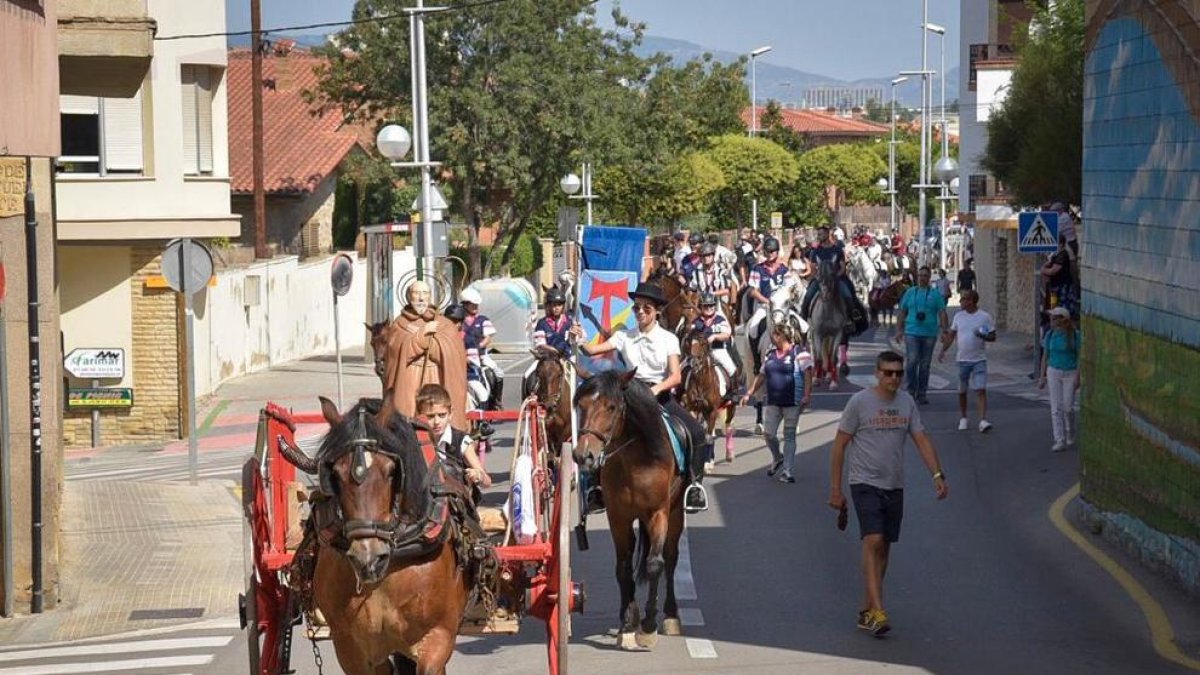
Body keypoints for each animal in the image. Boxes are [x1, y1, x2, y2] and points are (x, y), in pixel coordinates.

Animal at [573, 367, 686, 648]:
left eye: (612, 407)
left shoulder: (658, 513)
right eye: (581, 405)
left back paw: (670, 615)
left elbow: (655, 563)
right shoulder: (618, 518)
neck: (634, 460)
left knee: (670, 558)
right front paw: (627, 624)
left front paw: (648, 626)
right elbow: (623, 568)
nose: (583, 455)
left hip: (676, 512)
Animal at [681, 329, 734, 461]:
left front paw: (708, 462)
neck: (702, 383)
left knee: (728, 427)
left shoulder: (713, 411)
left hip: (731, 407)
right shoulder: (692, 408)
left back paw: (729, 454)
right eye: (688, 342)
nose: (693, 362)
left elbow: (709, 437)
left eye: (702, 343)